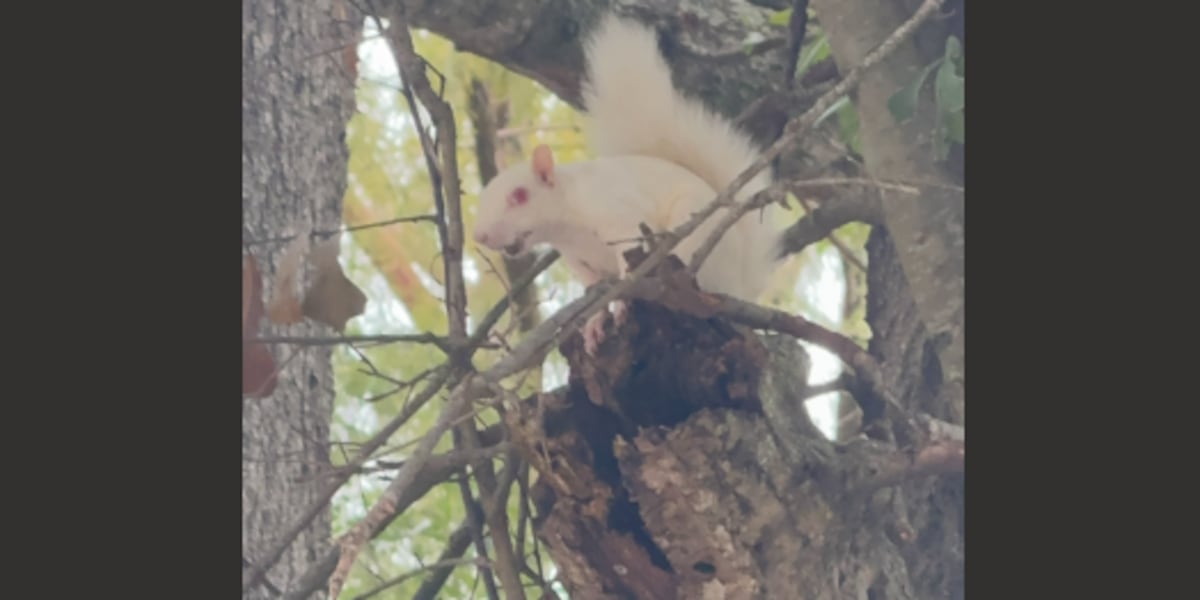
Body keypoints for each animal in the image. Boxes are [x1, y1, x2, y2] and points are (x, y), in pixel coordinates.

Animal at [472, 14, 786, 355]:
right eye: (483, 200)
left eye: (519, 195)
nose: (481, 235)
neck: (569, 222)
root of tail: (739, 286)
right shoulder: (585, 266)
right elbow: (597, 294)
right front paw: (595, 324)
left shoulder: (619, 218)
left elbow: (628, 275)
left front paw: (622, 306)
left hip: (693, 242)